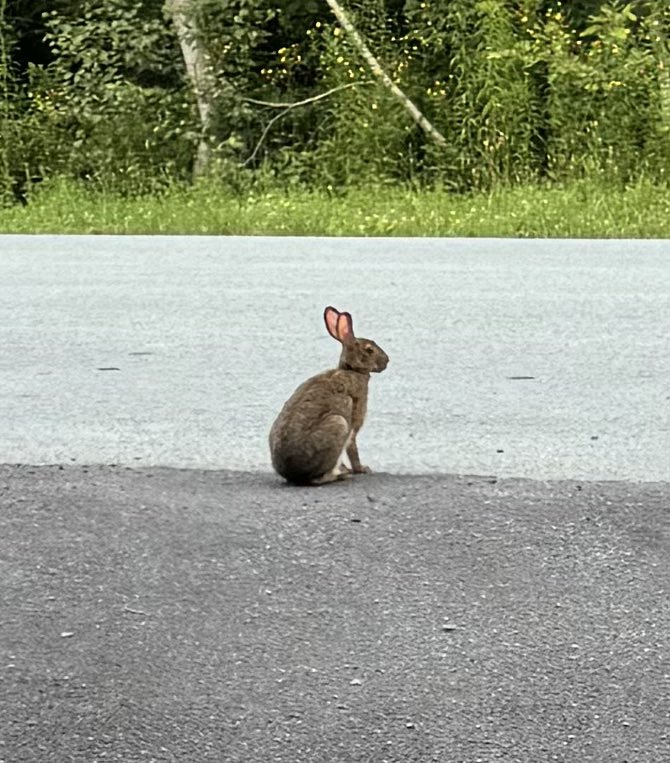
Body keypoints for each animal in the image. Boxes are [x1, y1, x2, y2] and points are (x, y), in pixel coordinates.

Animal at [269, 306, 389, 485]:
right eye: (369, 350)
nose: (387, 361)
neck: (352, 369)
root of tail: (293, 474)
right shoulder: (355, 420)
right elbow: (352, 447)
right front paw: (362, 469)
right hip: (338, 425)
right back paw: (342, 475)